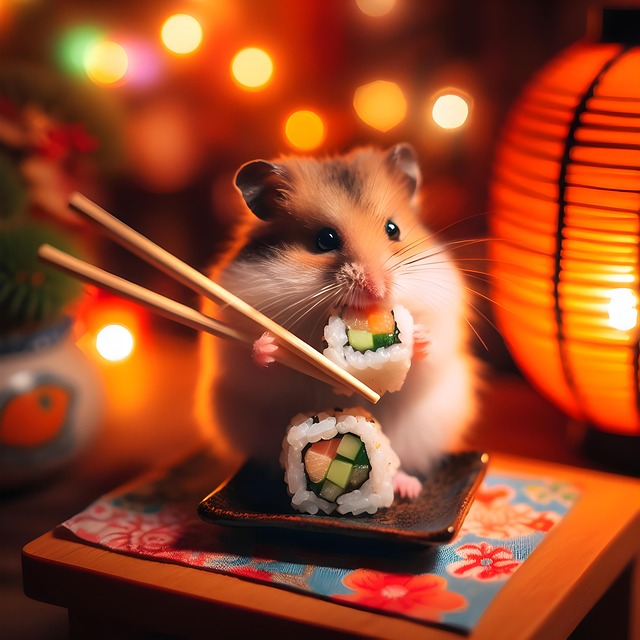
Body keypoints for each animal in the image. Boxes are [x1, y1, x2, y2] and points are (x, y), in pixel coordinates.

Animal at [196, 143, 479, 498]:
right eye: (325, 240)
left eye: (394, 230)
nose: (377, 290)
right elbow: (259, 363)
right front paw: (267, 346)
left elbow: (430, 354)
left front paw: (420, 338)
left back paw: (408, 489)